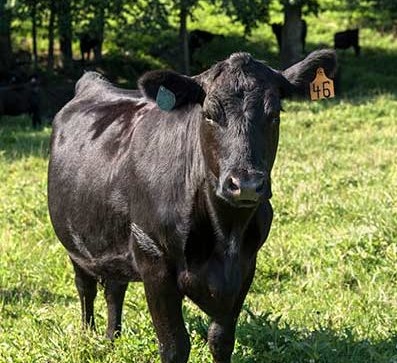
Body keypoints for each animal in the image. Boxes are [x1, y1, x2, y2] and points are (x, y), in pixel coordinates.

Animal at [48, 49, 336, 363]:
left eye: (275, 115)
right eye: (209, 115)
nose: (246, 184)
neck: (225, 232)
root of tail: (94, 83)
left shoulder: (246, 266)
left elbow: (221, 339)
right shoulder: (153, 257)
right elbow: (175, 346)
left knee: (114, 287)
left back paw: (113, 339)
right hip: (77, 245)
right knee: (86, 287)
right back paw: (89, 337)